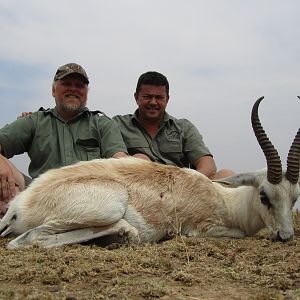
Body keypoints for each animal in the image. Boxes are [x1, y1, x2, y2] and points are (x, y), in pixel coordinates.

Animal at [0, 96, 300, 248]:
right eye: (264, 195)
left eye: (294, 197)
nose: (285, 236)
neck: (225, 199)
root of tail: (17, 206)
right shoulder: (202, 228)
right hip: (108, 208)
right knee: (28, 239)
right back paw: (124, 234)